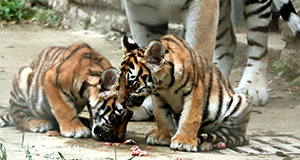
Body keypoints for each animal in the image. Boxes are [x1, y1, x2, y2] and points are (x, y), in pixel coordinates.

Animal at [0, 43, 132, 141]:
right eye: (116, 117)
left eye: (129, 118)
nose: (119, 139)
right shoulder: (50, 78)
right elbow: (63, 108)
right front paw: (75, 129)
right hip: (24, 78)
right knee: (19, 118)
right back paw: (38, 123)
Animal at [118, 34, 252, 151]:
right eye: (120, 81)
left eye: (131, 83)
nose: (121, 102)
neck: (164, 84)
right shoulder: (158, 96)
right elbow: (161, 116)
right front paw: (163, 135)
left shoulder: (196, 90)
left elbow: (190, 117)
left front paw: (184, 142)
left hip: (240, 103)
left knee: (222, 134)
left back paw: (206, 143)